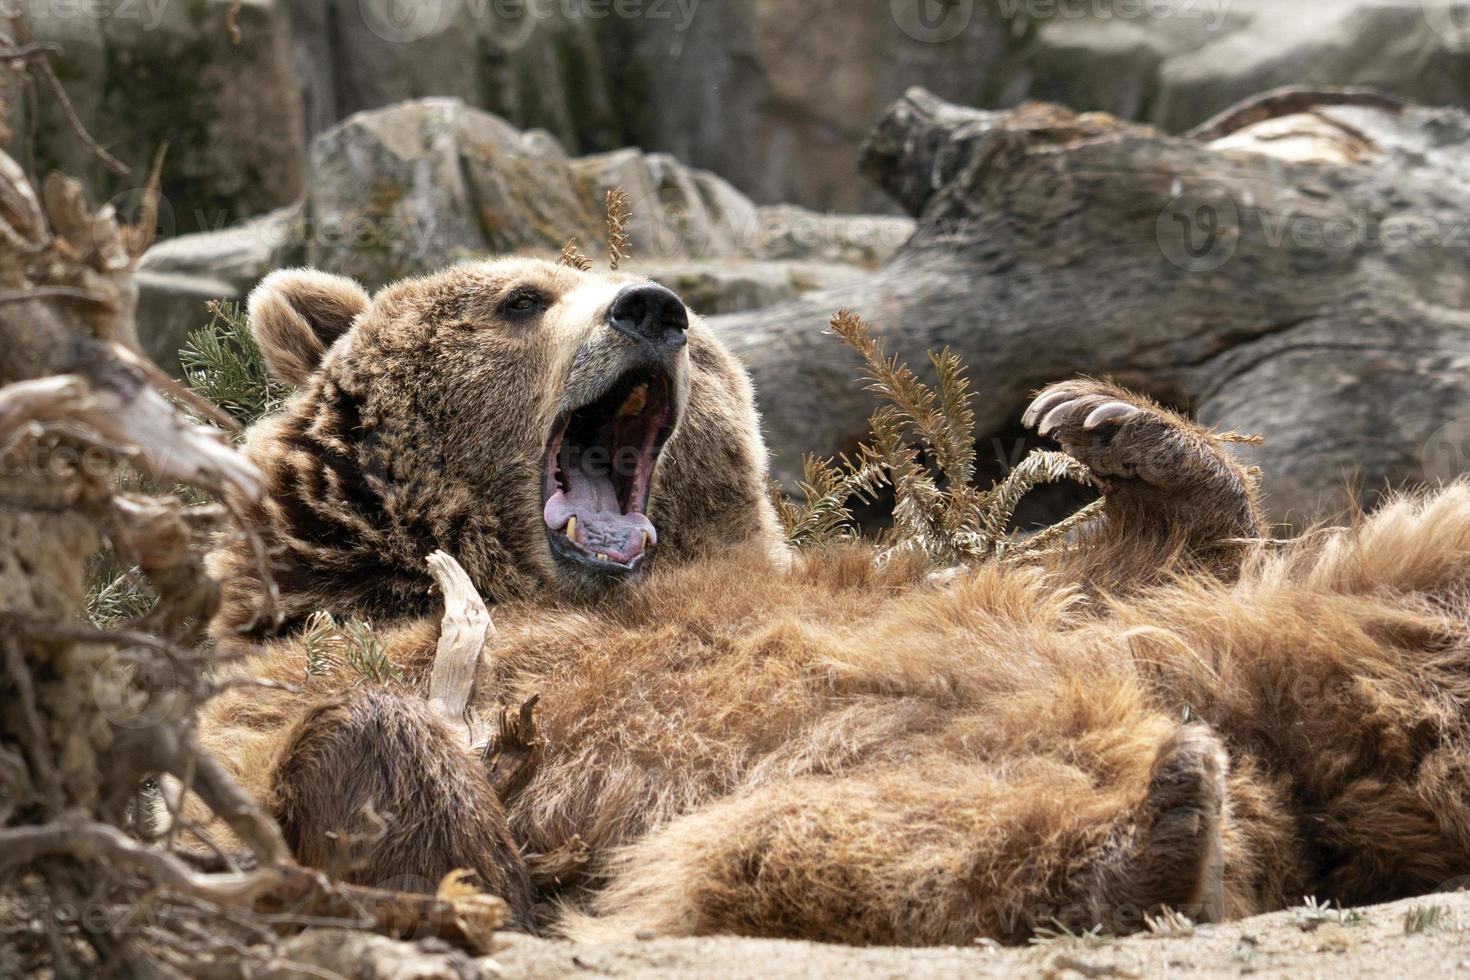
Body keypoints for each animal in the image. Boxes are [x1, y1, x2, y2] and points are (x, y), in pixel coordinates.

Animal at [201, 257, 1470, 946]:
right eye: (522, 297)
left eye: (701, 331)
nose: (654, 306)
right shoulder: (299, 660)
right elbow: (329, 765)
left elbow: (1085, 570)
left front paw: (1117, 427)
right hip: (848, 785)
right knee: (845, 849)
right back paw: (1160, 827)